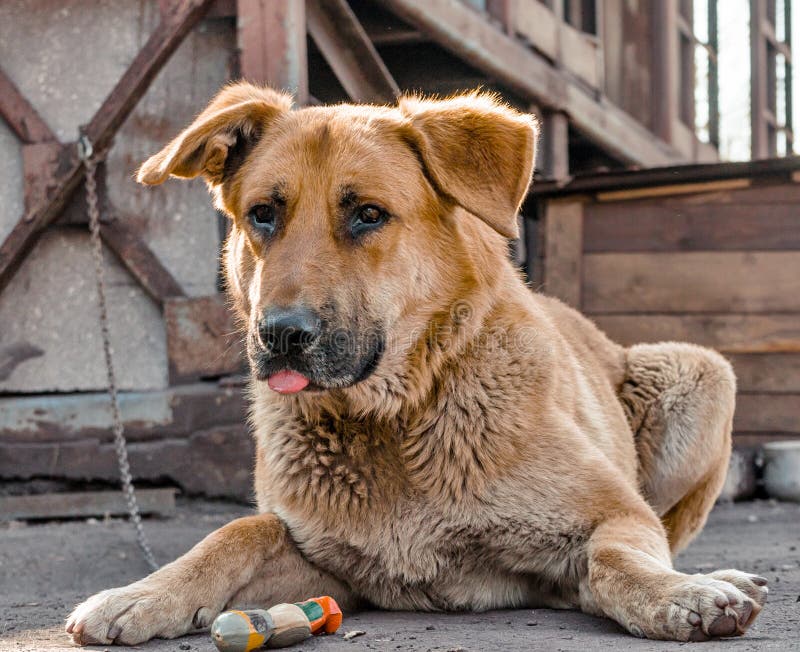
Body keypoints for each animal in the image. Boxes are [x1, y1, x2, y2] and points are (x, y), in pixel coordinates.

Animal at [67, 84, 768, 644]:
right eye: (262, 215)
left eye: (368, 215)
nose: (281, 335)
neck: (396, 419)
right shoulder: (321, 565)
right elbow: (240, 531)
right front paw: (145, 594)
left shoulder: (617, 515)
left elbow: (616, 558)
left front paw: (677, 593)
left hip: (702, 372)